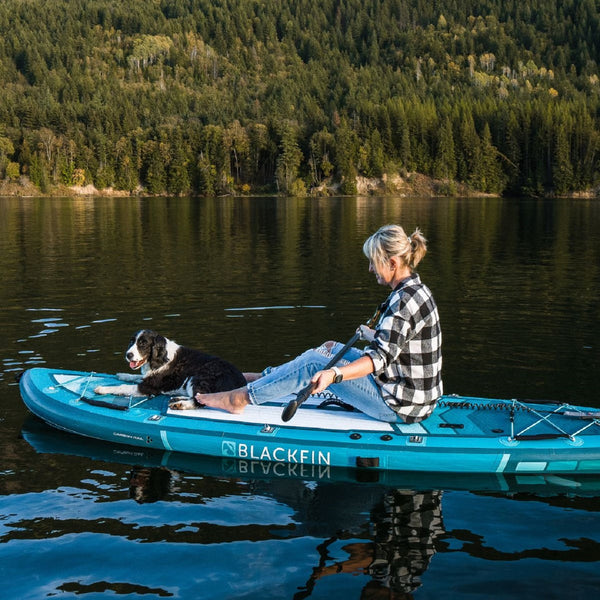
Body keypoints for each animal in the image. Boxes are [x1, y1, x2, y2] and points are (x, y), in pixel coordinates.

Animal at [94, 330, 246, 410]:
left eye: (143, 344)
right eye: (132, 342)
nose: (128, 355)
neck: (160, 357)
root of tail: (241, 383)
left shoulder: (149, 387)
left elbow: (122, 387)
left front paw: (102, 388)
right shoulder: (148, 378)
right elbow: (135, 377)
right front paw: (122, 374)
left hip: (198, 376)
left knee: (200, 400)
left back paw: (180, 404)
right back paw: (177, 398)